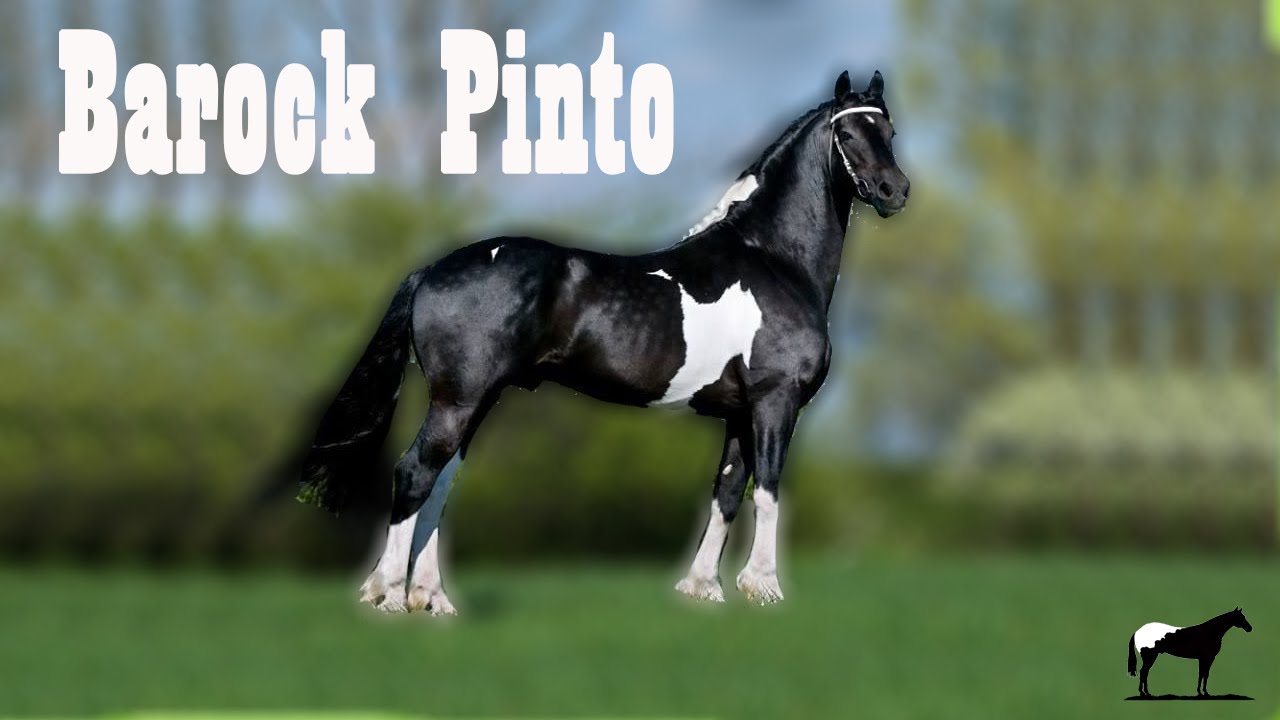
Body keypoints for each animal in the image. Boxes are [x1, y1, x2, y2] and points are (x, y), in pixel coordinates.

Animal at [298, 69, 910, 615]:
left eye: (890, 130)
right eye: (848, 134)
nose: (895, 191)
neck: (771, 260)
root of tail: (431, 269)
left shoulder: (740, 412)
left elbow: (728, 491)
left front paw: (702, 589)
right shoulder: (775, 403)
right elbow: (769, 491)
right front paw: (765, 588)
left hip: (474, 400)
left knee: (441, 483)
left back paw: (431, 597)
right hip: (459, 401)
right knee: (415, 475)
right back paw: (386, 595)